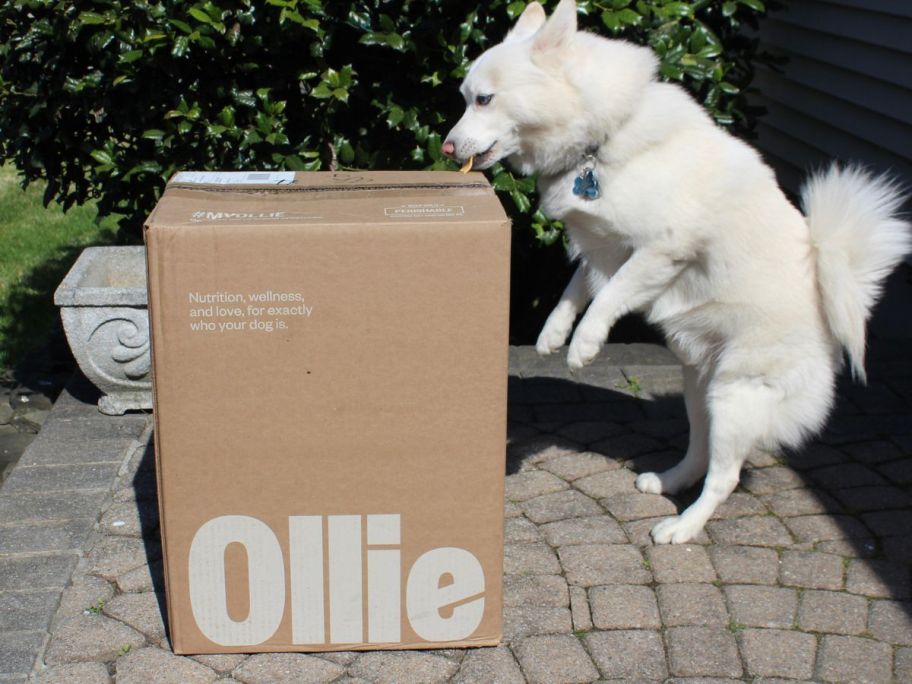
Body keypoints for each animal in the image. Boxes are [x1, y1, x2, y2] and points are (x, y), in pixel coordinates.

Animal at [442, 0, 904, 544]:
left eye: (484, 100)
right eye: (466, 99)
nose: (446, 148)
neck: (601, 139)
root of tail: (833, 315)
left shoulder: (659, 249)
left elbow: (608, 295)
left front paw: (583, 346)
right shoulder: (607, 247)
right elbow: (578, 286)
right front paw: (552, 334)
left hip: (735, 396)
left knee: (725, 477)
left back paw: (682, 528)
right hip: (698, 386)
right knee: (700, 452)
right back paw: (668, 481)